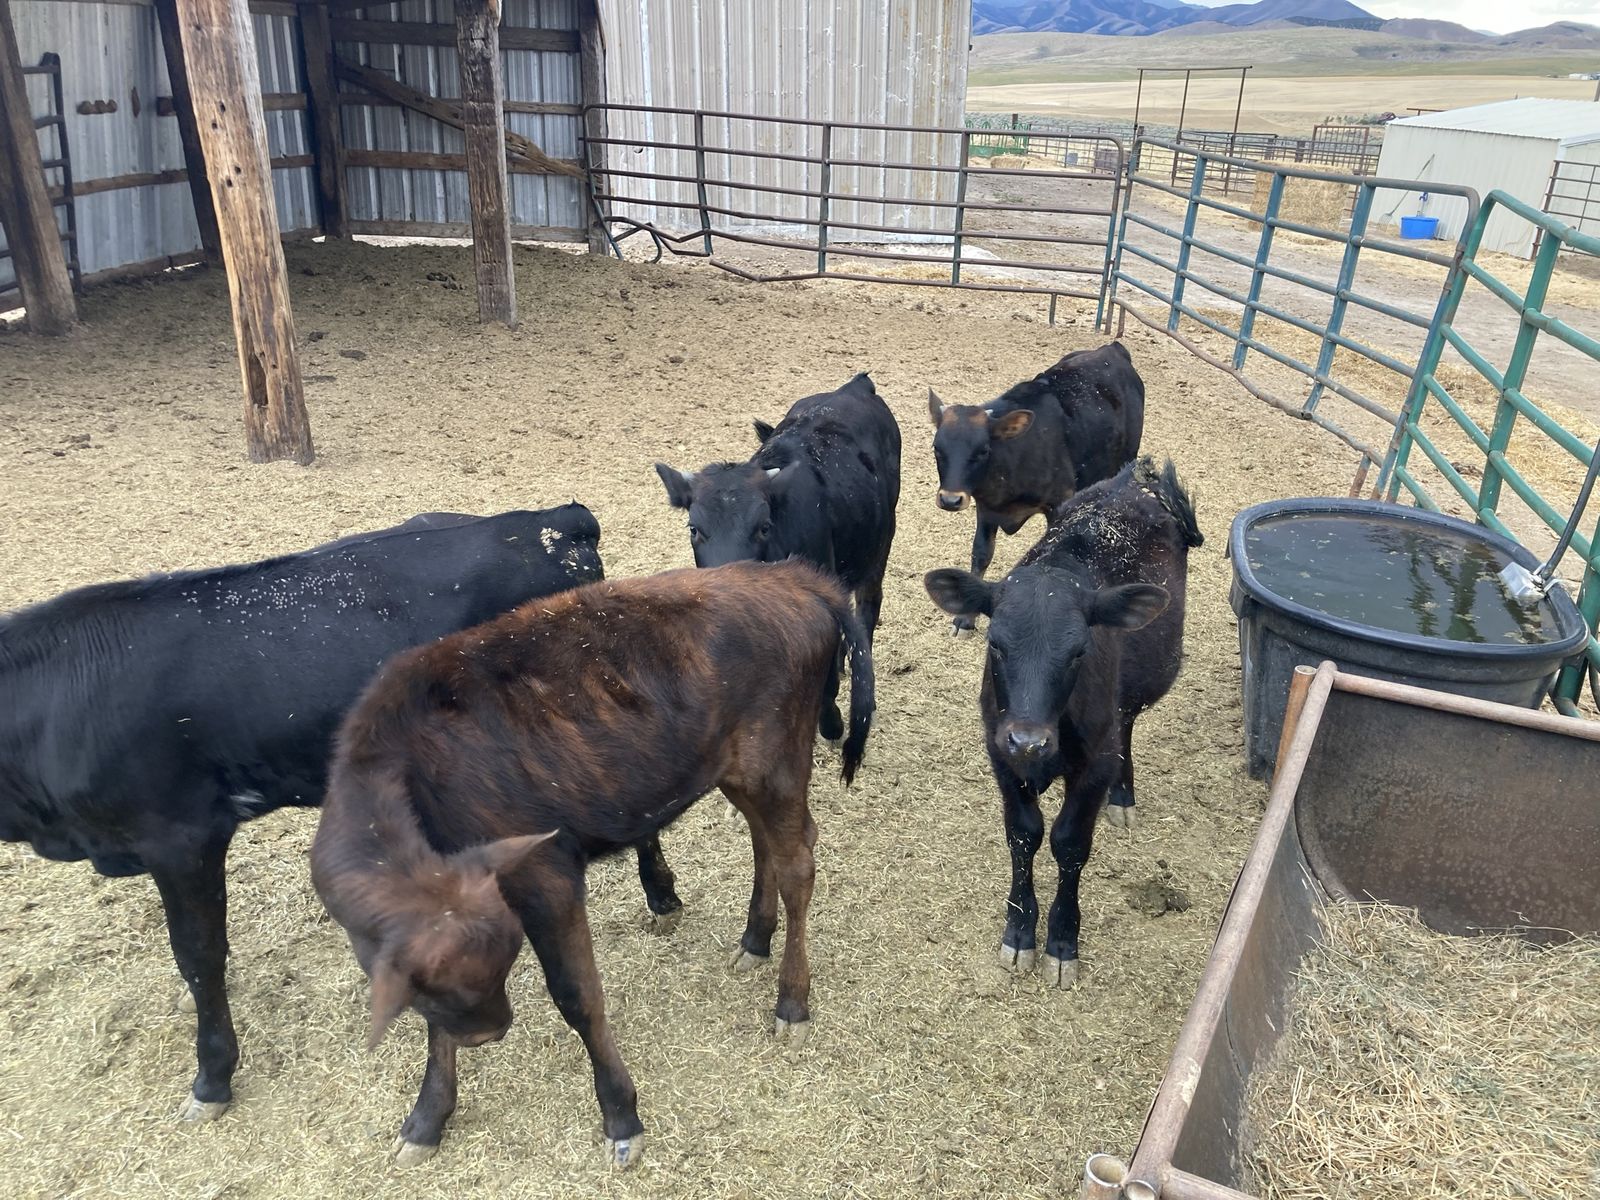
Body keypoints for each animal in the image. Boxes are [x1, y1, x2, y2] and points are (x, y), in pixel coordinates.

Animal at [310, 559, 875, 1170]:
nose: (491, 1031)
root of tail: (795, 577)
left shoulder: (547, 876)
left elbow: (577, 996)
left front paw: (620, 1113)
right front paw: (428, 1116)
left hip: (775, 762)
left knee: (797, 863)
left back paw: (792, 1001)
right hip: (736, 769)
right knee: (765, 842)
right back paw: (755, 938)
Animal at [653, 372, 900, 746]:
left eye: (764, 526)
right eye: (694, 528)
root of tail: (855, 385)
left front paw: (832, 722)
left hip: (879, 547)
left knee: (868, 608)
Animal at [924, 458, 1201, 986]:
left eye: (1079, 651)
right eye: (995, 643)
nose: (1028, 741)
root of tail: (1131, 479)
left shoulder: (1092, 764)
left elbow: (1070, 843)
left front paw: (1061, 941)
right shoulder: (1000, 755)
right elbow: (1024, 833)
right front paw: (1018, 932)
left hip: (1130, 699)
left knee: (1126, 727)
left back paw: (1123, 794)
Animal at [929, 342, 1145, 633]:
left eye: (983, 450)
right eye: (937, 448)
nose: (950, 500)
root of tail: (1112, 348)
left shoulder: (1058, 504)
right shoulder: (986, 507)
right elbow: (981, 554)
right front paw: (965, 619)